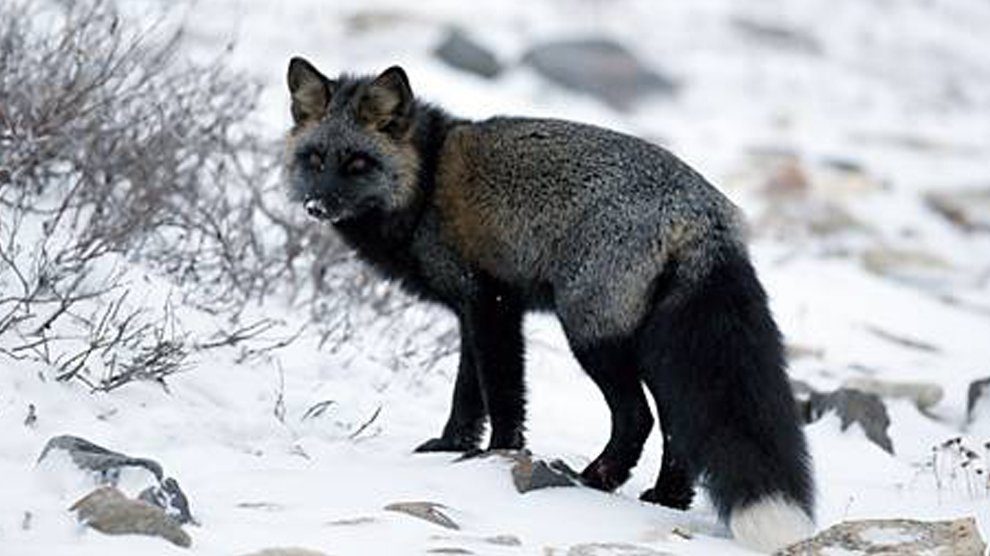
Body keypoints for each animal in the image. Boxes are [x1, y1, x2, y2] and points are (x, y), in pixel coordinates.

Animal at [284, 57, 815, 553]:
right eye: (315, 159)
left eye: (358, 164)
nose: (316, 206)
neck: (425, 184)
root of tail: (705, 212)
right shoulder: (475, 310)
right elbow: (467, 394)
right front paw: (450, 447)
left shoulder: (492, 305)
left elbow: (501, 395)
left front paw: (495, 457)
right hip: (654, 346)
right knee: (676, 427)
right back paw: (664, 499)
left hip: (592, 334)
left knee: (638, 417)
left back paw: (594, 479)